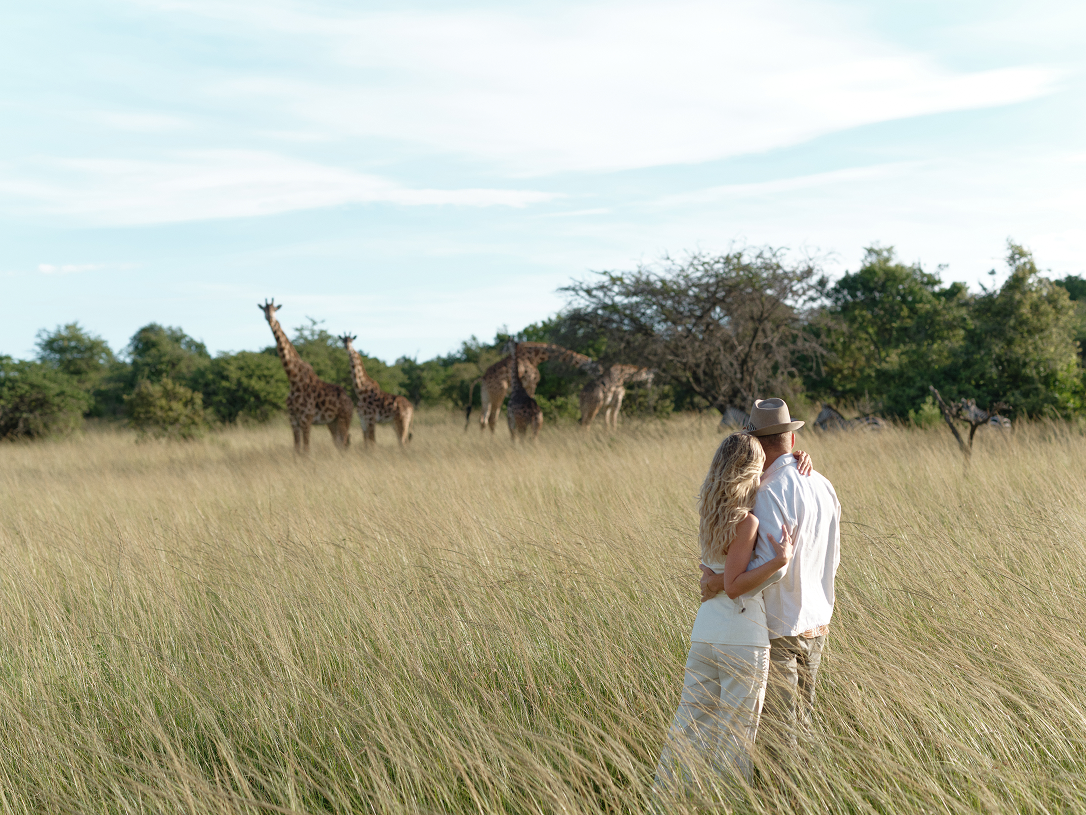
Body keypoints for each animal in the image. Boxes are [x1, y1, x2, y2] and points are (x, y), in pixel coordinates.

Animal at [259, 299, 353, 453]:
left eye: (275, 309)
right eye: (264, 310)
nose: (269, 318)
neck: (294, 379)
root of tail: (351, 401)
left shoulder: (306, 418)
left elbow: (306, 449)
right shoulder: (293, 419)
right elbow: (297, 449)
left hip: (344, 418)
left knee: (344, 441)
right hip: (332, 422)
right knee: (339, 442)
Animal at [464, 342, 599, 432]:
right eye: (594, 367)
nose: (599, 372)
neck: (536, 356)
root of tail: (483, 377)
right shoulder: (531, 384)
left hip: (486, 396)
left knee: (483, 420)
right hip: (498, 395)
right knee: (492, 419)